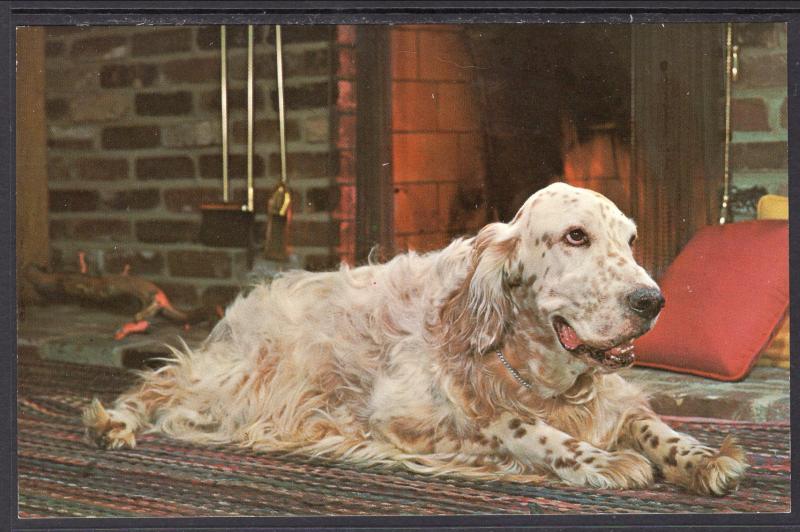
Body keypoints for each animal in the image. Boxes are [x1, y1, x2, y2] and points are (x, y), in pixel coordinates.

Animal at [84, 182, 748, 494]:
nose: (652, 301)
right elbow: (518, 427)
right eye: (575, 236)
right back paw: (112, 422)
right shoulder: (402, 411)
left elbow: (654, 425)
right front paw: (600, 460)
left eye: (630, 240)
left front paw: (703, 459)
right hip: (241, 379)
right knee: (160, 383)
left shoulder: (613, 398)